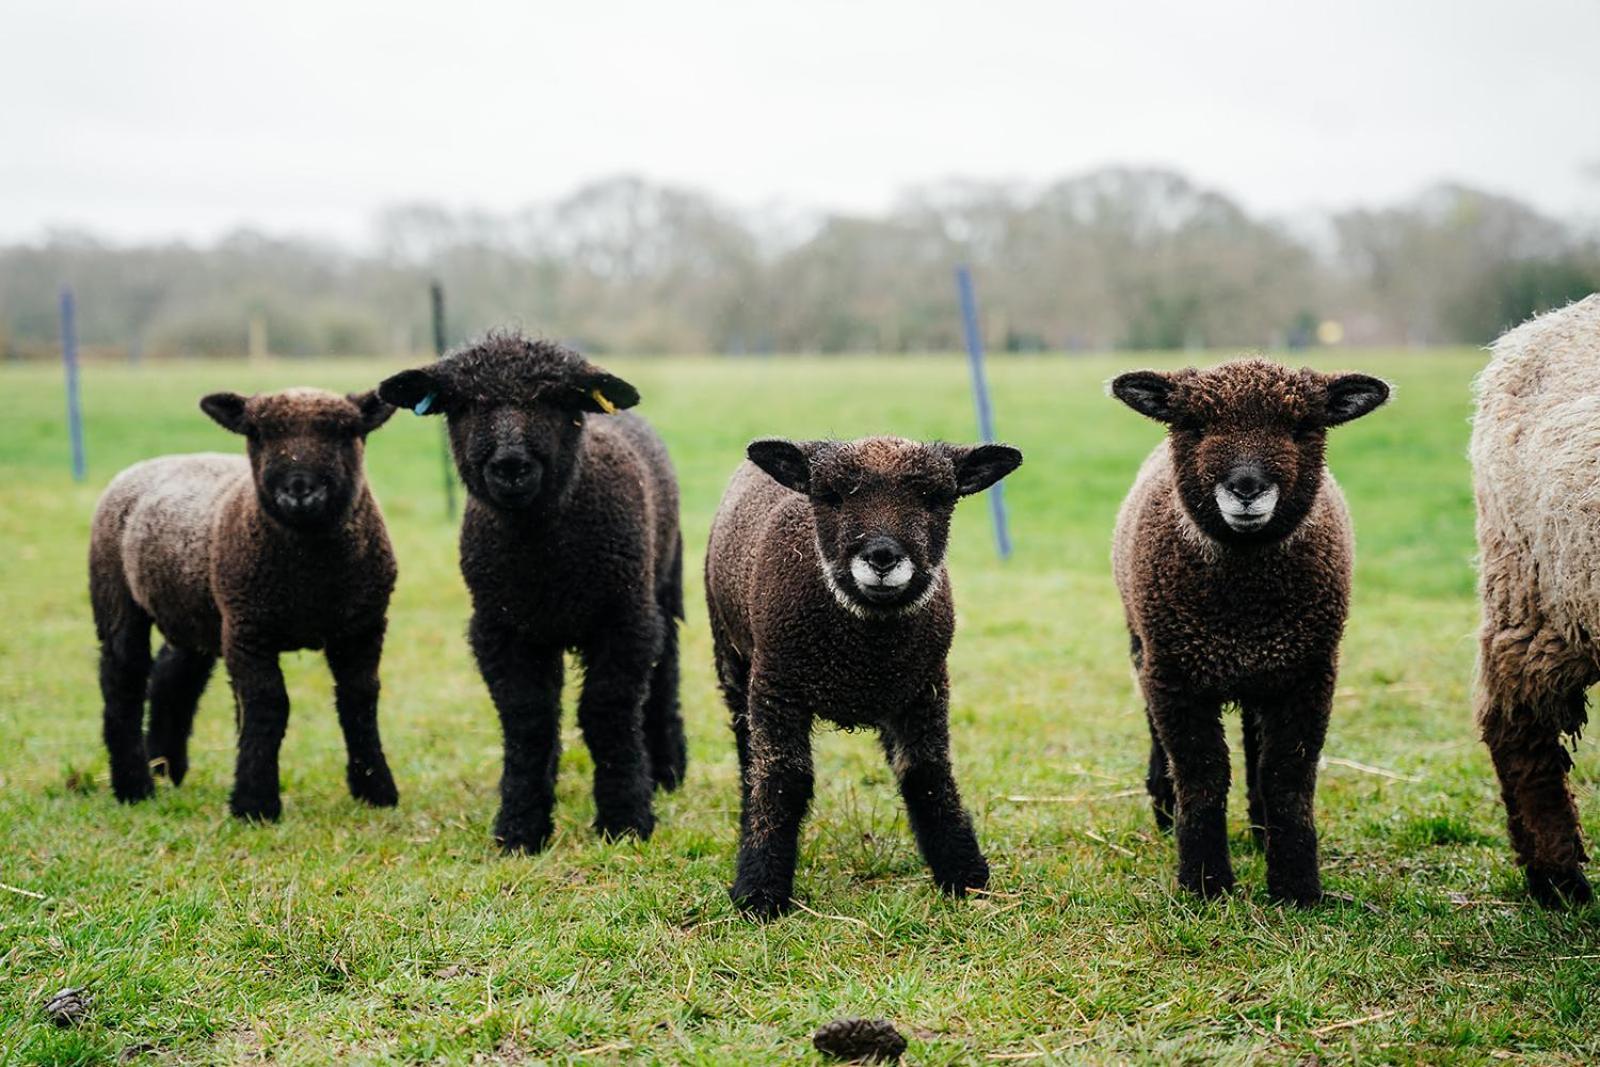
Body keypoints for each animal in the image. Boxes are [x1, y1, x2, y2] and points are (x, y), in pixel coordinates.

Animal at [90, 388, 400, 825]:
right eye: (257, 433)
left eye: (345, 431)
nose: (299, 489)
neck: (309, 579)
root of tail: (149, 464)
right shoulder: (247, 629)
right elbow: (267, 705)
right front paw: (256, 802)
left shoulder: (362, 627)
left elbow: (359, 700)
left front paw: (376, 790)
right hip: (116, 595)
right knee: (123, 679)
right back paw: (134, 785)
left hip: (196, 612)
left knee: (172, 677)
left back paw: (165, 767)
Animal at [377, 337, 684, 857]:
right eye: (464, 402)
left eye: (556, 400)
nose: (511, 468)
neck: (541, 557)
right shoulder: (501, 629)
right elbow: (528, 719)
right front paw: (521, 827)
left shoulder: (624, 622)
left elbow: (607, 712)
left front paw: (625, 820)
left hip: (662, 586)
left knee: (664, 678)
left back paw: (665, 769)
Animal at [704, 435, 1024, 921]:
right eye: (830, 496)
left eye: (935, 497)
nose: (883, 557)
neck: (862, 656)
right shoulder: (777, 689)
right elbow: (782, 780)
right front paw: (759, 891)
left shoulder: (926, 689)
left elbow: (926, 774)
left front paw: (963, 874)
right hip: (734, 660)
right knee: (748, 751)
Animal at [1113, 363, 1388, 908]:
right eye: (1194, 424)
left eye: (1302, 426)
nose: (1245, 488)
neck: (1244, 610)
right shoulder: (1174, 674)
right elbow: (1202, 773)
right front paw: (1204, 884)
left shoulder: (1307, 674)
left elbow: (1286, 774)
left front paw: (1296, 886)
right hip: (1144, 645)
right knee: (1156, 728)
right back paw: (1164, 807)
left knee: (1254, 740)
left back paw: (1261, 829)